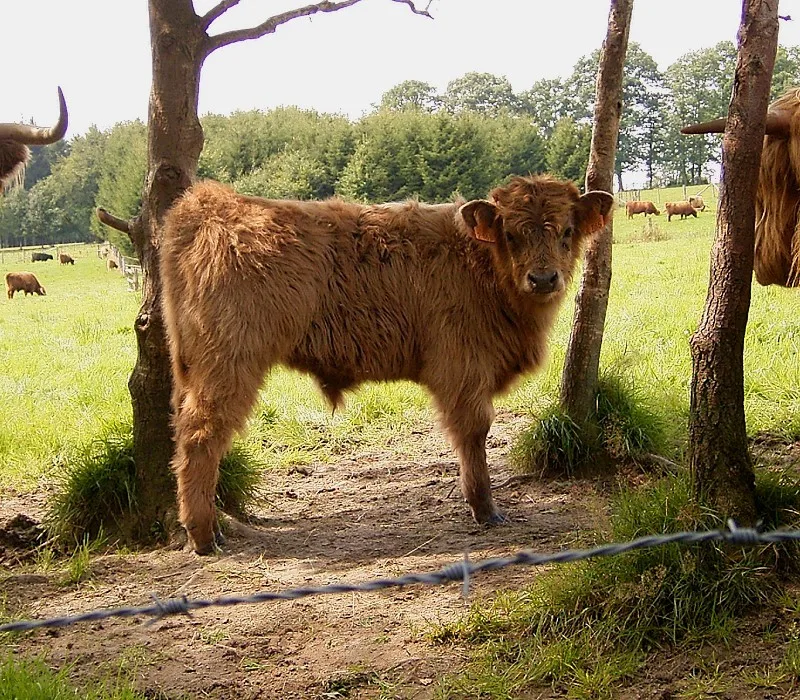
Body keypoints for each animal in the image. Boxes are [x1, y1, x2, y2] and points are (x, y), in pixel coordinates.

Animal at [160, 175, 614, 554]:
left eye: (568, 231)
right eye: (512, 234)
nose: (544, 279)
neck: (482, 267)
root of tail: (210, 202)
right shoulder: (462, 367)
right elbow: (475, 432)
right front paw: (485, 510)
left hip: (190, 368)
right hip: (229, 364)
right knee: (202, 435)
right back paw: (204, 535)